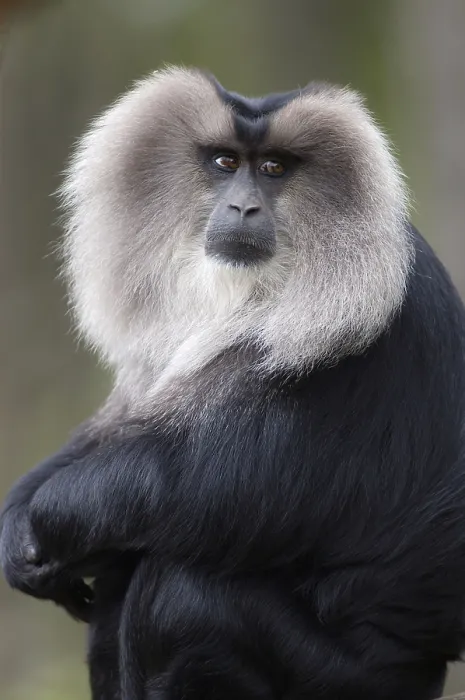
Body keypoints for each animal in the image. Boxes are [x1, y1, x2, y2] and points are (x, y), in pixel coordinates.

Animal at [1, 66, 465, 700]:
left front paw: (44, 521)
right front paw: (16, 524)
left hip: (345, 679)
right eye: (225, 162)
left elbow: (210, 480)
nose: (243, 206)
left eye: (273, 169)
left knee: (184, 596)